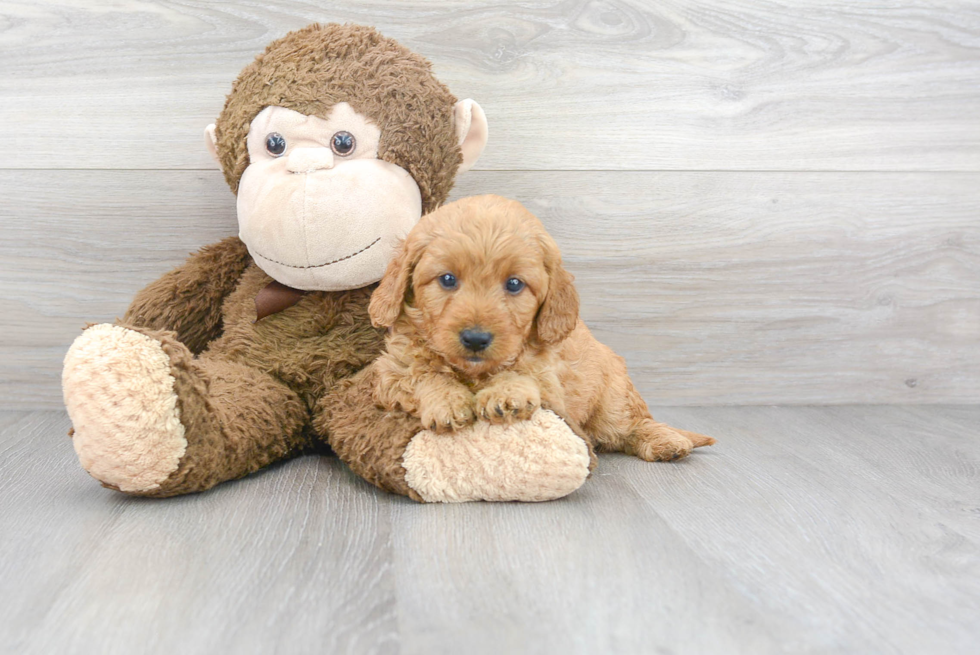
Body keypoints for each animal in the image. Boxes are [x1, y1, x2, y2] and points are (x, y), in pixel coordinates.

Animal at [368, 193, 712, 462]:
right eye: (448, 279)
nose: (476, 339)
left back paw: (667, 442)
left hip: (612, 402)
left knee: (631, 425)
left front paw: (507, 393)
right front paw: (446, 401)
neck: (473, 373)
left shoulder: (552, 387)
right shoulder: (391, 373)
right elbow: (423, 374)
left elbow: (524, 373)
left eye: (514, 284)